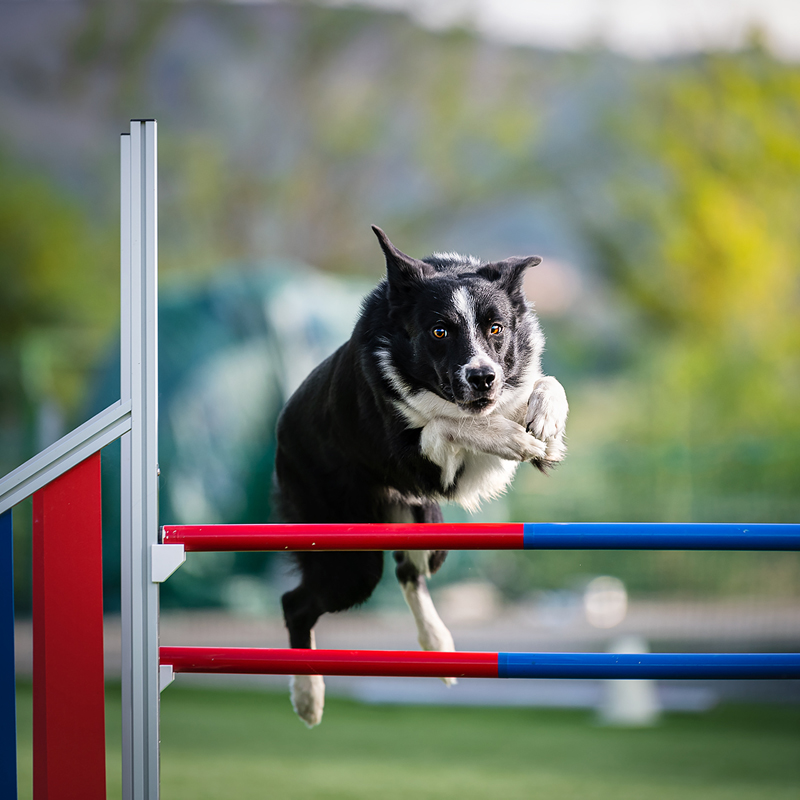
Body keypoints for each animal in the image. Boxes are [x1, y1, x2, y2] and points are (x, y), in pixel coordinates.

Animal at [276, 225, 568, 724]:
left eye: (496, 328)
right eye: (439, 331)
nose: (483, 377)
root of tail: (280, 430)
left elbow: (546, 385)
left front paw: (545, 425)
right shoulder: (428, 464)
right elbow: (448, 422)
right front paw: (511, 438)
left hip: (425, 527)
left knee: (409, 572)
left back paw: (439, 645)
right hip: (348, 558)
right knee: (296, 604)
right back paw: (307, 696)